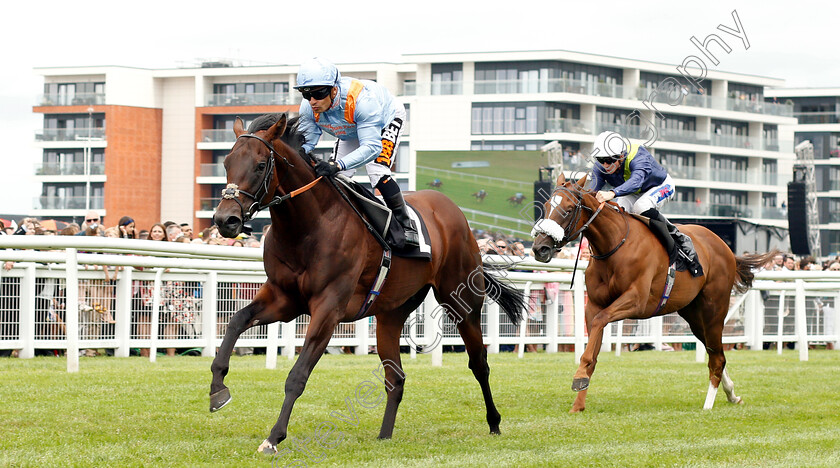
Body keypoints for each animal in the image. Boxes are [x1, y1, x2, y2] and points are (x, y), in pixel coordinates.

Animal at [210, 113, 524, 454]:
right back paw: (385, 435)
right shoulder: (284, 299)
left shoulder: (329, 307)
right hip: (391, 312)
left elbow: (297, 375)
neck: (309, 227)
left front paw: (274, 436)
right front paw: (217, 389)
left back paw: (494, 422)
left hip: (461, 299)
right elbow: (236, 320)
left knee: (479, 363)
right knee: (395, 378)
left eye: (258, 165)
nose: (225, 220)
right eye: (226, 163)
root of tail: (453, 211)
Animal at [532, 175, 776, 414]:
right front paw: (578, 401)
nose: (539, 248)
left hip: (714, 310)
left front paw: (579, 378)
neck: (614, 245)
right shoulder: (593, 304)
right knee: (716, 352)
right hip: (693, 315)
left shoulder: (636, 301)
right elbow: (593, 348)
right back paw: (732, 394)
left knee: (716, 358)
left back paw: (708, 405)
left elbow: (601, 322)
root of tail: (726, 249)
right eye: (546, 206)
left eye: (568, 209)